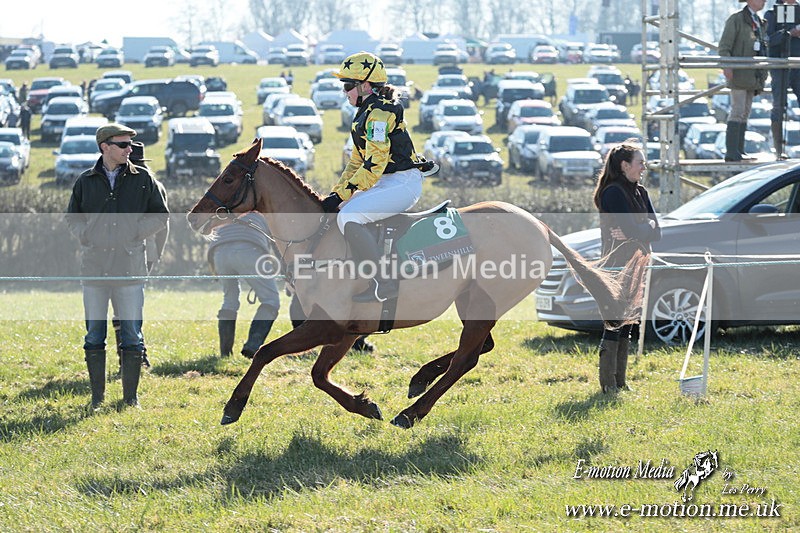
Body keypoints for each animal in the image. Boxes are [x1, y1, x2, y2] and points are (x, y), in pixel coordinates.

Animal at [187, 138, 641, 429]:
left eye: (229, 177)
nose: (194, 216)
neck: (317, 240)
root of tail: (539, 225)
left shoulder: (328, 325)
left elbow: (266, 353)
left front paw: (233, 406)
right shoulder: (344, 332)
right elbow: (317, 374)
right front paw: (364, 404)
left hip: (484, 301)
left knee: (468, 358)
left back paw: (413, 411)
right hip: (474, 301)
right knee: (480, 347)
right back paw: (419, 379)